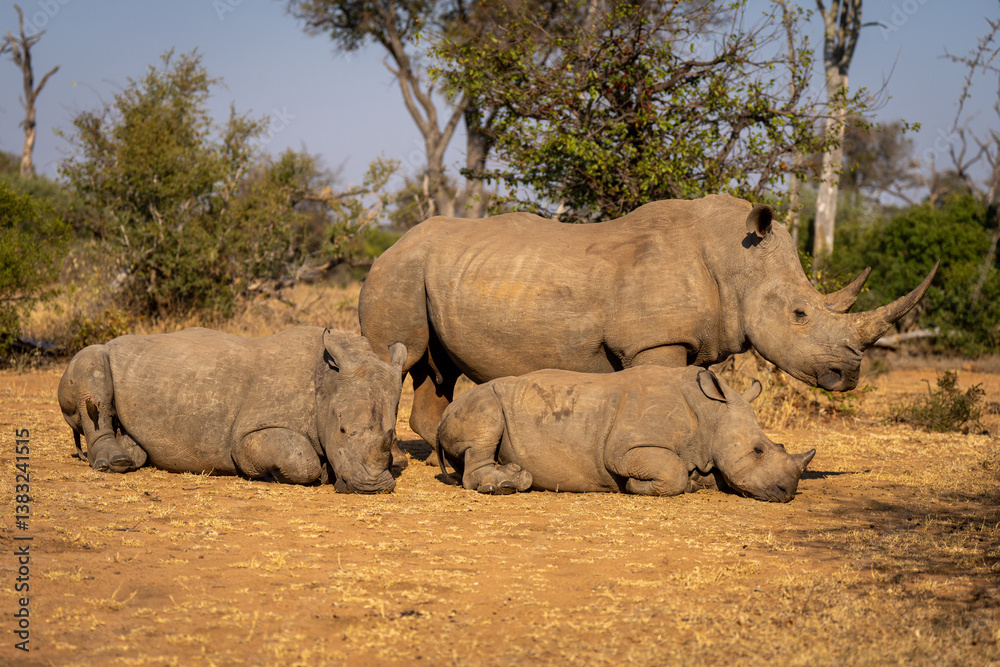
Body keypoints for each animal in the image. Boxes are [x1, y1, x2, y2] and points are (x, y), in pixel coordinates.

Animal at [57, 327, 406, 493]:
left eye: (392, 435)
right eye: (343, 430)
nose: (373, 488)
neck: (328, 383)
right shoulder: (247, 434)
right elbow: (300, 457)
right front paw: (313, 473)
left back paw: (132, 452)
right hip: (97, 353)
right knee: (92, 364)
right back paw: (115, 463)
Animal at [359, 193, 937, 444]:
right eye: (799, 314)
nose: (850, 375)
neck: (737, 259)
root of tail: (389, 244)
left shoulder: (695, 340)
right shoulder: (655, 343)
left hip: (432, 273)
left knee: (438, 369)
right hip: (396, 271)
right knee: (398, 358)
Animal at [436, 366, 815, 502]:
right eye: (759, 451)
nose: (787, 493)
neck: (710, 413)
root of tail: (440, 422)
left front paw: (697, 482)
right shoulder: (624, 449)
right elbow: (673, 472)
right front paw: (636, 487)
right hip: (477, 401)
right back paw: (508, 484)